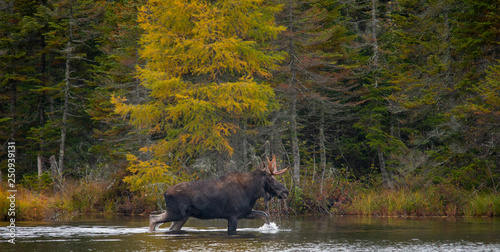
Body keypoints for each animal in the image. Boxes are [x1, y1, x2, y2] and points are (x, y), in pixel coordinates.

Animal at [148, 156, 288, 234]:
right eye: (271, 179)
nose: (285, 192)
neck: (252, 193)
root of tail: (164, 193)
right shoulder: (233, 215)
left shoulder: (245, 212)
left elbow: (265, 215)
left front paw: (269, 228)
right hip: (176, 213)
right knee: (153, 218)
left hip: (183, 216)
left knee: (170, 227)